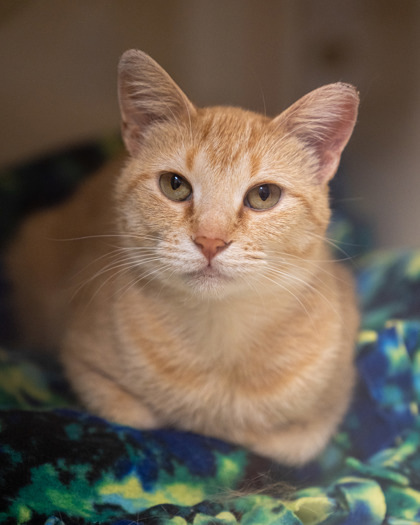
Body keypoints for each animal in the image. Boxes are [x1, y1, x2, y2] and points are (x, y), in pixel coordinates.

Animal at [4, 51, 360, 464]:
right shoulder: (81, 361)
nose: (210, 240)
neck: (219, 341)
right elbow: (139, 417)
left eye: (264, 195)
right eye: (174, 185)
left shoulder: (330, 404)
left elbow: (288, 442)